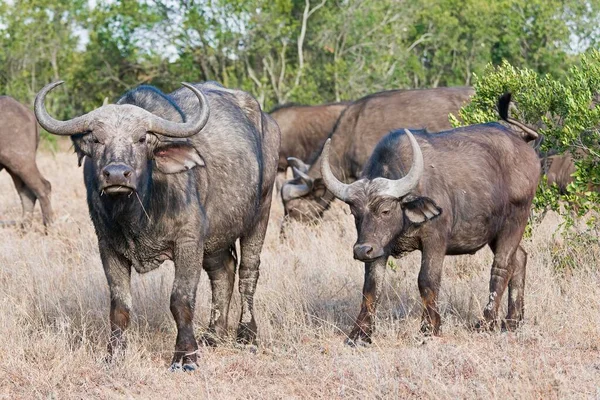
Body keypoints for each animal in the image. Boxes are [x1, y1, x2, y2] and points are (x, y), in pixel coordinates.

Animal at [0, 96, 54, 228]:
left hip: (21, 161)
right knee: (26, 192)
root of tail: (27, 112)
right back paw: (24, 227)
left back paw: (49, 226)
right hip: (13, 168)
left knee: (43, 187)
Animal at [35, 81, 282, 372]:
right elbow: (119, 306)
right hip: (215, 238)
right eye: (96, 139)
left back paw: (246, 335)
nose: (116, 174)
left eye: (142, 139)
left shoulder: (188, 242)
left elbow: (181, 300)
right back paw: (213, 334)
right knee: (223, 272)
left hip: (261, 212)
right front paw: (113, 355)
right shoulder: (108, 245)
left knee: (248, 273)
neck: (136, 214)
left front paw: (185, 357)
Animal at [322, 93, 540, 344]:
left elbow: (426, 280)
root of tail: (523, 144)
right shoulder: (379, 247)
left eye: (385, 210)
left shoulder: (435, 240)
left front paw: (430, 327)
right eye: (355, 213)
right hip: (495, 232)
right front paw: (359, 333)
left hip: (515, 221)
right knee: (520, 258)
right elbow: (371, 287)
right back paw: (513, 320)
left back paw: (486, 322)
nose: (361, 250)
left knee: (502, 267)